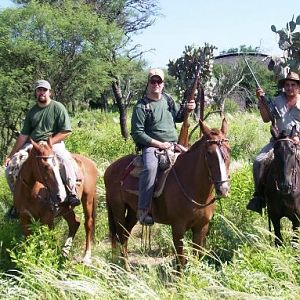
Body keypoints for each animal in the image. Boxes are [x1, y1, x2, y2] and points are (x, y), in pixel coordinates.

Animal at [103, 118, 230, 270]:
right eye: (209, 153)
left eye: (229, 150)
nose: (223, 189)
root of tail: (109, 169)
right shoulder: (178, 228)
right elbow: (181, 261)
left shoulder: (201, 228)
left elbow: (197, 257)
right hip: (118, 209)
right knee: (121, 235)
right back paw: (126, 269)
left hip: (133, 211)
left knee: (126, 235)